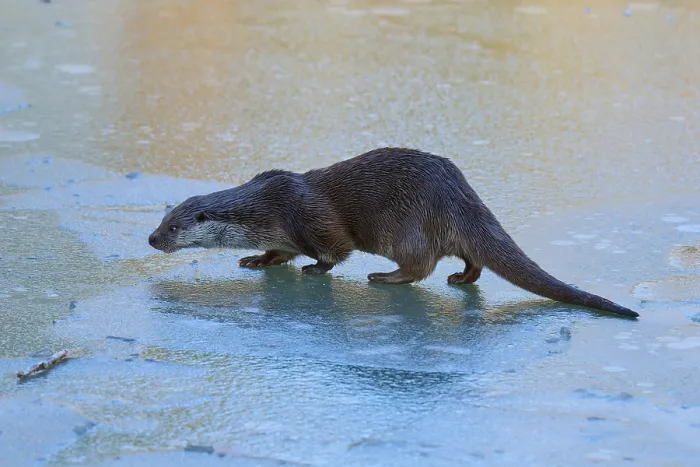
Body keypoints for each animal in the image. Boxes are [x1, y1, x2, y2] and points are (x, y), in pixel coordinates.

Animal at [148, 147, 639, 318]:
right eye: (160, 220)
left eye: (173, 227)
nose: (151, 239)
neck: (266, 208)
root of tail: (463, 197)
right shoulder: (282, 233)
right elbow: (277, 254)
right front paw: (255, 259)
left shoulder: (308, 217)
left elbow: (332, 251)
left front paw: (316, 270)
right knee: (472, 258)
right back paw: (461, 278)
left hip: (407, 228)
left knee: (421, 264)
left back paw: (384, 278)